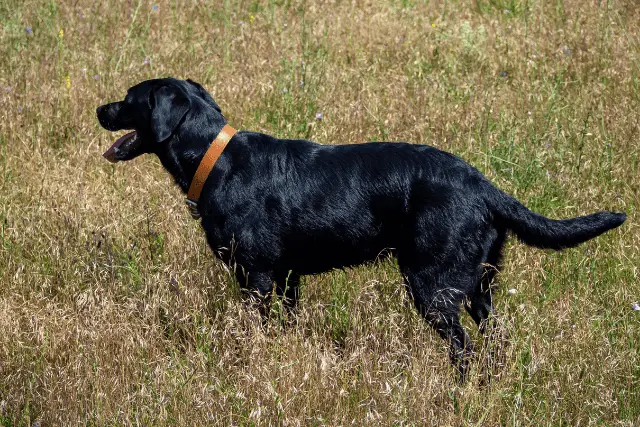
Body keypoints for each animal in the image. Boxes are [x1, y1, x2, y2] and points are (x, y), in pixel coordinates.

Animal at [96, 78, 624, 382]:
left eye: (128, 100)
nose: (99, 109)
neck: (215, 159)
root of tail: (483, 184)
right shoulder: (288, 279)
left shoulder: (258, 276)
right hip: (479, 288)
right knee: (493, 343)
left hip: (432, 286)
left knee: (464, 349)